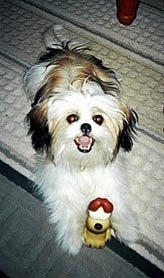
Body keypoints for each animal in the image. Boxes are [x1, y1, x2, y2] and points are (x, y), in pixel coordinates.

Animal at [24, 32, 139, 254]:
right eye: (72, 118)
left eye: (98, 119)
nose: (86, 126)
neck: (83, 161)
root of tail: (66, 51)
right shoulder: (55, 177)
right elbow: (66, 204)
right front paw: (72, 238)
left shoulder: (110, 173)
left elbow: (116, 196)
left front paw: (127, 228)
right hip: (35, 80)